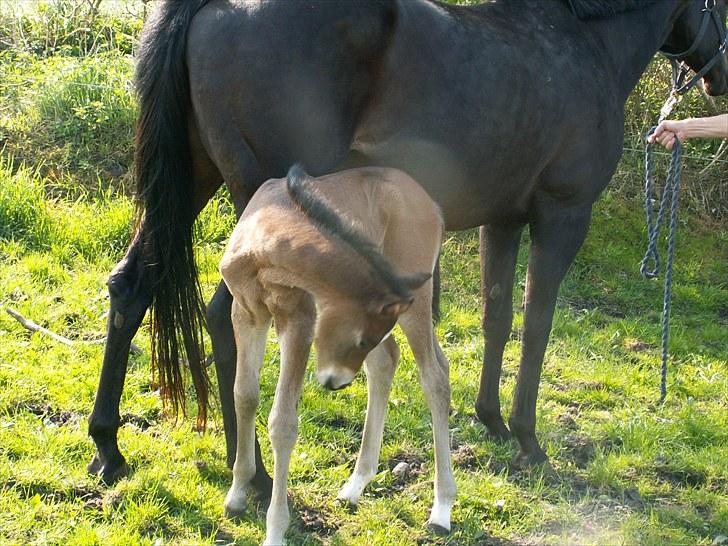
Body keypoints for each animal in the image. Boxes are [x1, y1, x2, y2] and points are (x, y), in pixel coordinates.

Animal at [89, 0, 728, 492]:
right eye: (720, 5)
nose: (720, 76)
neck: (583, 42)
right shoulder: (563, 216)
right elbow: (537, 322)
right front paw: (527, 438)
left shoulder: (503, 221)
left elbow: (498, 316)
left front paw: (492, 422)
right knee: (227, 314)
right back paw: (253, 473)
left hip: (190, 184)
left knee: (133, 286)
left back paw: (109, 448)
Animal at [219, 164, 456, 540]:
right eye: (361, 339)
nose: (337, 383)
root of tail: (430, 203)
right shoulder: (246, 314)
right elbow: (244, 395)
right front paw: (238, 494)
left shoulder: (298, 321)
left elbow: (283, 422)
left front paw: (275, 531)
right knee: (386, 362)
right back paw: (355, 486)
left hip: (415, 304)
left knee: (435, 376)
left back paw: (442, 508)